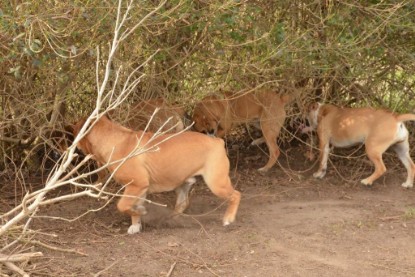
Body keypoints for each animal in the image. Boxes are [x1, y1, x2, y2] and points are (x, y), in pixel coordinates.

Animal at [72, 114, 240, 233]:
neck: (115, 141)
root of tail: (216, 141)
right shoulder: (138, 188)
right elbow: (131, 206)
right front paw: (136, 223)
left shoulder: (137, 184)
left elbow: (122, 205)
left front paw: (139, 212)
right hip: (183, 184)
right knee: (182, 203)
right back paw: (171, 219)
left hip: (216, 183)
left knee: (235, 195)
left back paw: (228, 218)